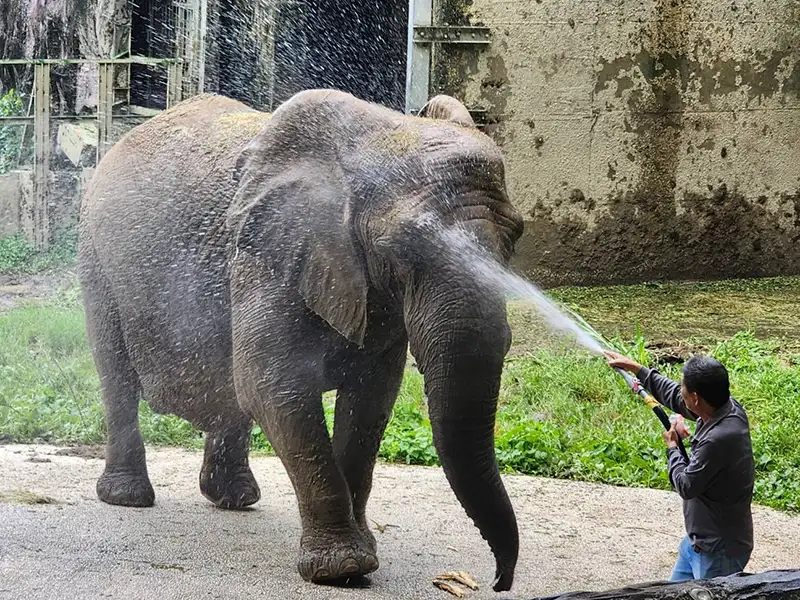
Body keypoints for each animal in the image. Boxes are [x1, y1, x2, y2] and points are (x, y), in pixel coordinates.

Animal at [79, 88, 524, 592]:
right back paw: (128, 497)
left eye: (517, 236)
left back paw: (235, 498)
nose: (498, 582)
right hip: (96, 256)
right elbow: (275, 386)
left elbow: (371, 401)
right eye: (401, 249)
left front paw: (361, 555)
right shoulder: (267, 254)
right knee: (116, 371)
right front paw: (343, 570)